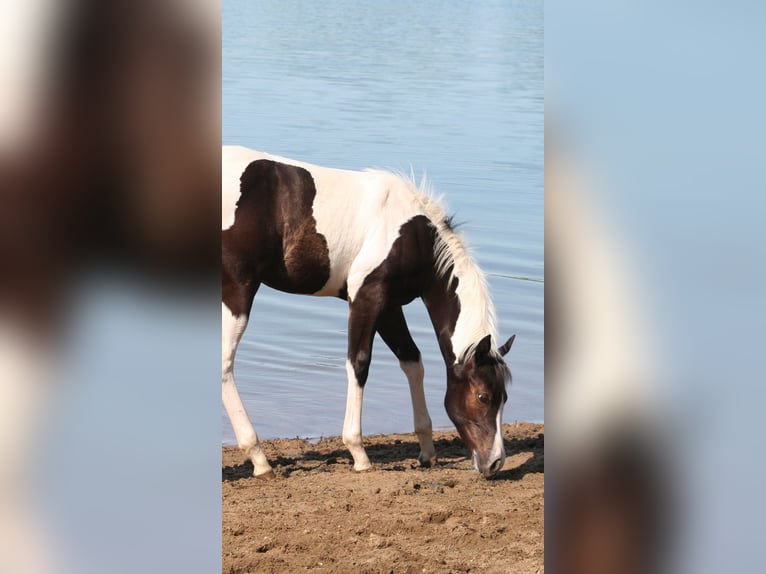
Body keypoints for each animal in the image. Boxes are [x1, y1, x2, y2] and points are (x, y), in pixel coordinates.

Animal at [222, 146, 516, 480]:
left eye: (504, 397)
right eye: (483, 397)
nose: (495, 462)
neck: (413, 234)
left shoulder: (389, 306)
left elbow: (412, 360)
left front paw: (427, 450)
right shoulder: (366, 297)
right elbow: (359, 363)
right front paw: (359, 453)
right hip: (239, 289)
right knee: (225, 362)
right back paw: (259, 459)